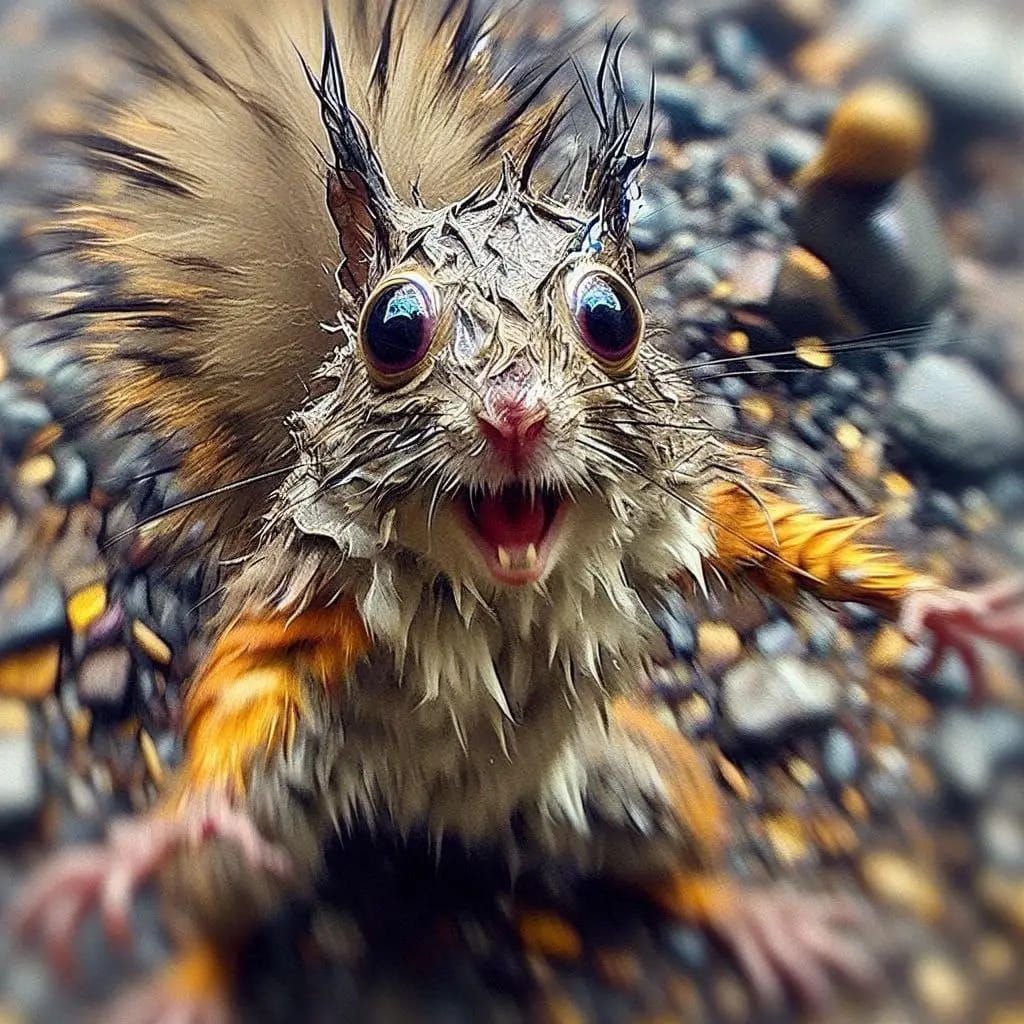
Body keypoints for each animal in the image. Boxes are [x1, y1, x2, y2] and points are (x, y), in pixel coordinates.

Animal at [8, 1, 1024, 1020]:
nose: (515, 414)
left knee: (676, 848)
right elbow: (250, 678)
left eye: (613, 316)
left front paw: (945, 606)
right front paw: (147, 840)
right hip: (275, 818)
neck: (505, 590)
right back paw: (187, 979)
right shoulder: (318, 583)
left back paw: (756, 918)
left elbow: (777, 544)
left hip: (634, 779)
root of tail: (450, 821)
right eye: (391, 328)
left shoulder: (680, 508)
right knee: (223, 885)